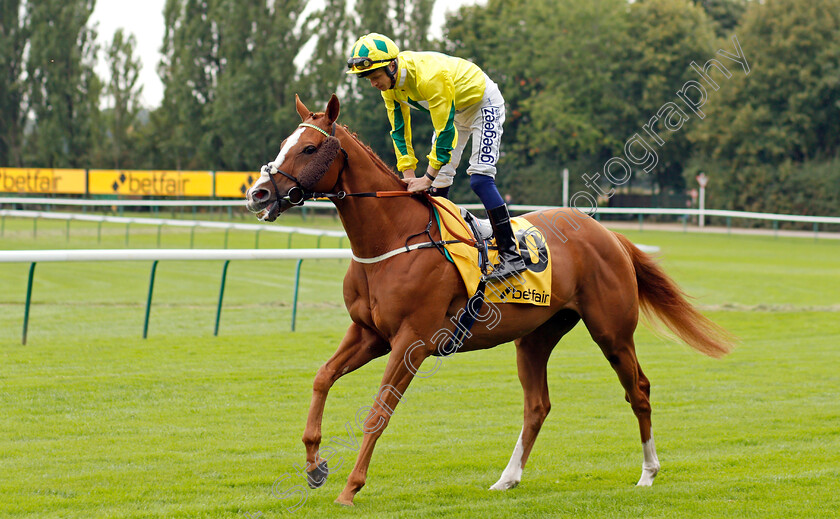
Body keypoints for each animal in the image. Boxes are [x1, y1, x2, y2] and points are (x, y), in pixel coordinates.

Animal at [244, 94, 736, 508]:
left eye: (309, 148)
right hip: (535, 336)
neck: (393, 238)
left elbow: (378, 412)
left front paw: (350, 488)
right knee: (538, 405)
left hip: (612, 331)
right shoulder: (369, 334)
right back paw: (508, 477)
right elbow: (322, 378)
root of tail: (606, 232)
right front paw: (314, 466)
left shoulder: (411, 342)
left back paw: (648, 471)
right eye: (285, 144)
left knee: (639, 389)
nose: (257, 193)